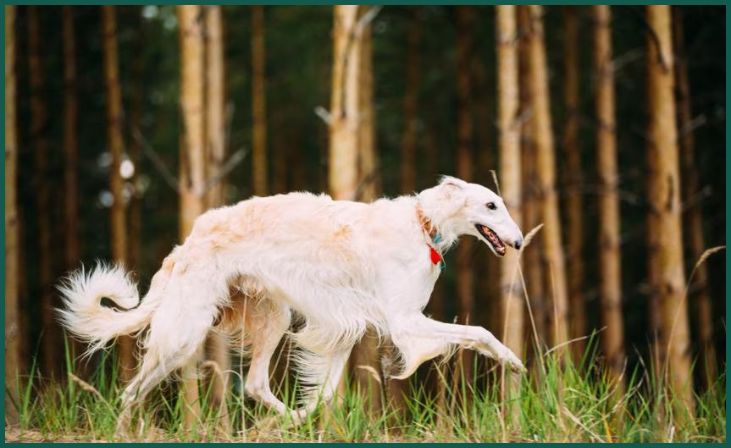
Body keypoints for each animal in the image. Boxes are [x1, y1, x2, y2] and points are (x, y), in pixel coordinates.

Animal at [57, 174, 528, 428]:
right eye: (492, 204)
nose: (521, 242)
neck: (422, 225)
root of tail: (186, 243)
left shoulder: (348, 325)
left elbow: (324, 393)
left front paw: (308, 417)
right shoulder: (404, 321)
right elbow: (479, 331)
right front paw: (514, 362)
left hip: (273, 317)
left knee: (254, 384)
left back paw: (286, 419)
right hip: (184, 332)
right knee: (130, 392)